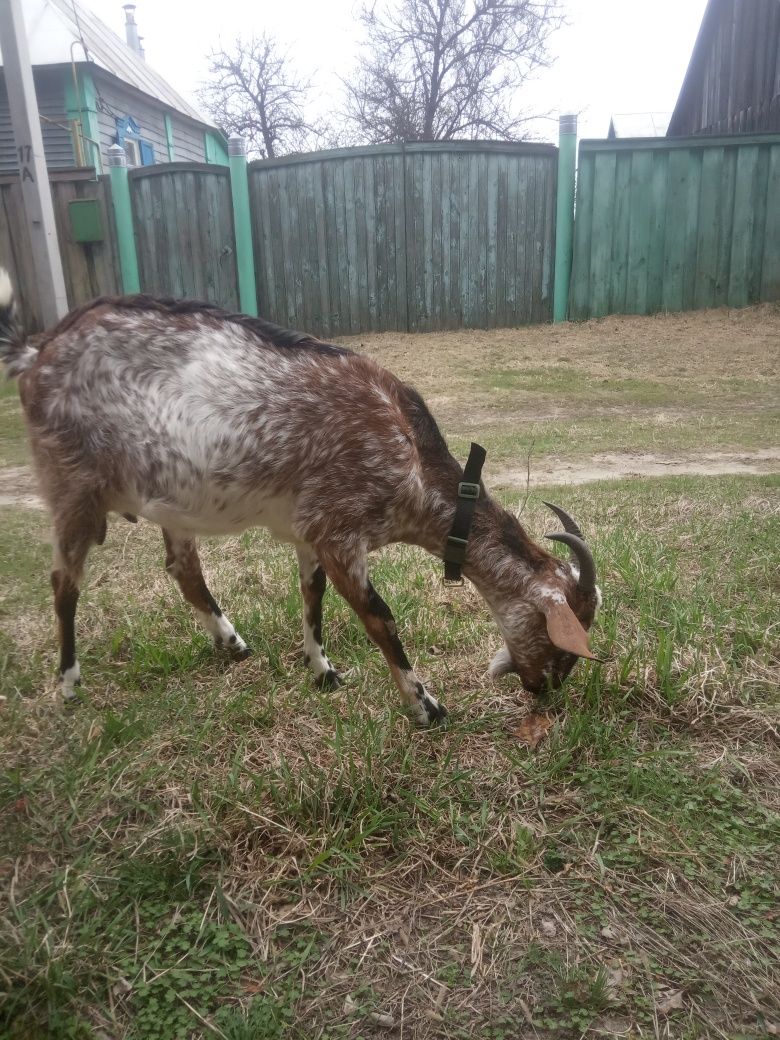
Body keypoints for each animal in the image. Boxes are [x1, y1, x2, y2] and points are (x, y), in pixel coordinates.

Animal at [0, 272, 603, 728]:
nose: (544, 691)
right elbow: (379, 617)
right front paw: (425, 706)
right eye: (565, 642)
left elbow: (312, 597)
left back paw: (232, 642)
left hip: (169, 498)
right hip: (72, 485)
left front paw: (323, 671)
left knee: (182, 568)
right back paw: (70, 684)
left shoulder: (310, 530)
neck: (408, 453)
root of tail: (36, 351)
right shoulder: (340, 531)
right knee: (64, 582)